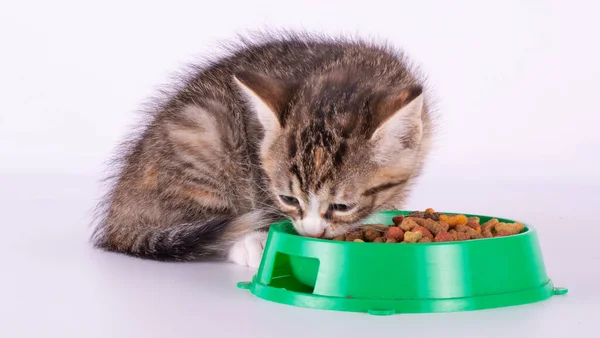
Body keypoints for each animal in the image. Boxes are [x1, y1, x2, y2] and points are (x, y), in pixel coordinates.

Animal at [90, 33, 436, 268]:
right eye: (288, 199)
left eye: (341, 206)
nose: (310, 232)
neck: (345, 74)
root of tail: (117, 219)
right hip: (203, 129)